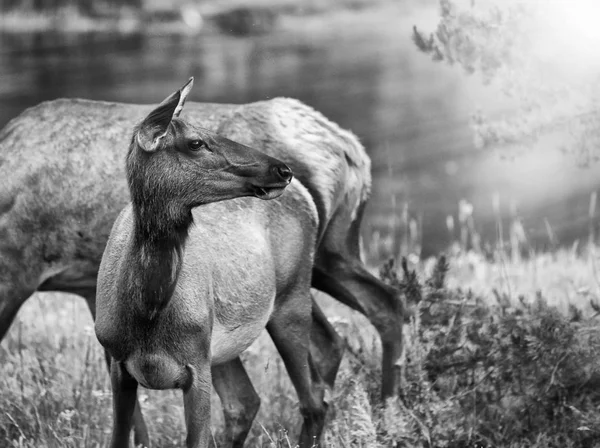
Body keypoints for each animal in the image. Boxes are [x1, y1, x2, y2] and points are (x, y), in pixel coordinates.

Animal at [0, 79, 406, 444]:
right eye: (195, 143)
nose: (281, 170)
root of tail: (353, 150)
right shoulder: (106, 332)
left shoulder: (18, 273)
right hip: (332, 253)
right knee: (357, 324)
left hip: (298, 286)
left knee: (321, 372)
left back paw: (386, 419)